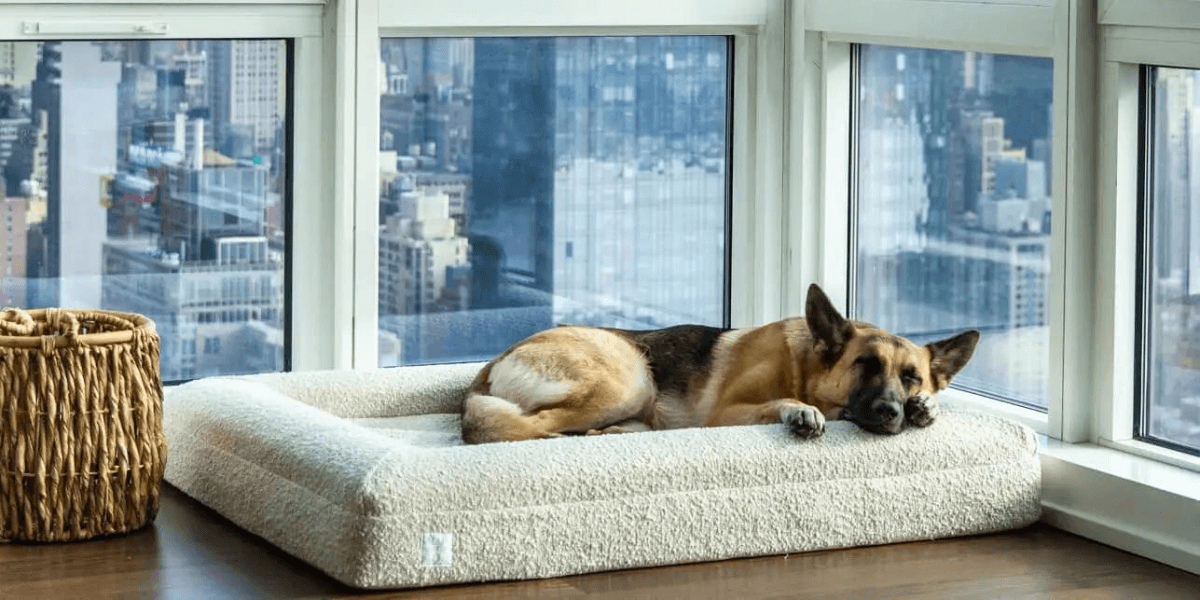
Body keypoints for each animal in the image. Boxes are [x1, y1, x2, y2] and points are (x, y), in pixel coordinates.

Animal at [463, 283, 979, 444]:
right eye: (866, 365)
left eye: (912, 378)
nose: (892, 412)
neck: (803, 367)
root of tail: (490, 366)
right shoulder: (725, 414)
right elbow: (782, 403)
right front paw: (800, 411)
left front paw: (926, 408)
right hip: (629, 378)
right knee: (517, 428)